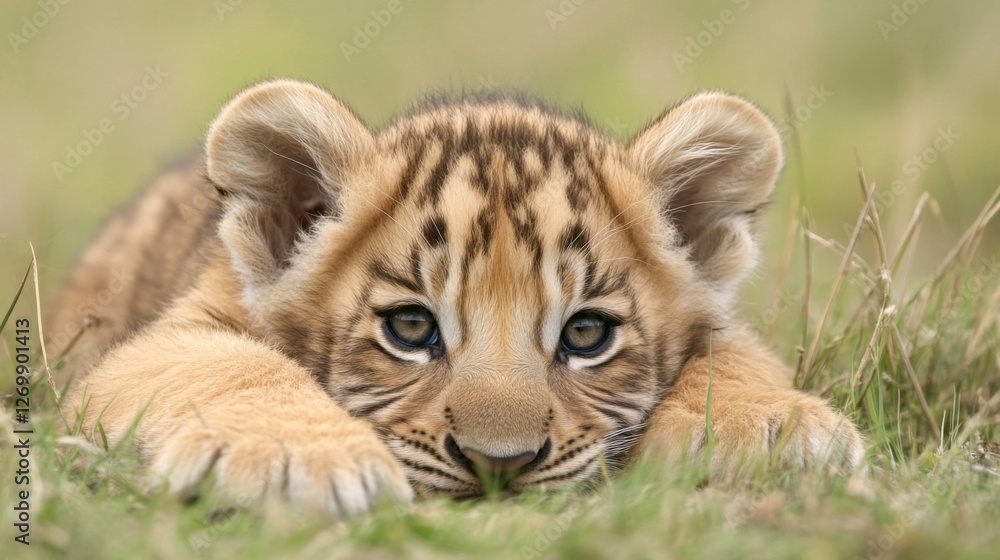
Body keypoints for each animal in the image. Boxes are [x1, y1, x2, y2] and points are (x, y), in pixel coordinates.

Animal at [50, 79, 864, 514]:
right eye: (412, 328)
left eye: (586, 335)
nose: (499, 465)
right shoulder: (167, 335)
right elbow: (232, 367)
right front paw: (296, 459)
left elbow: (734, 359)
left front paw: (773, 432)